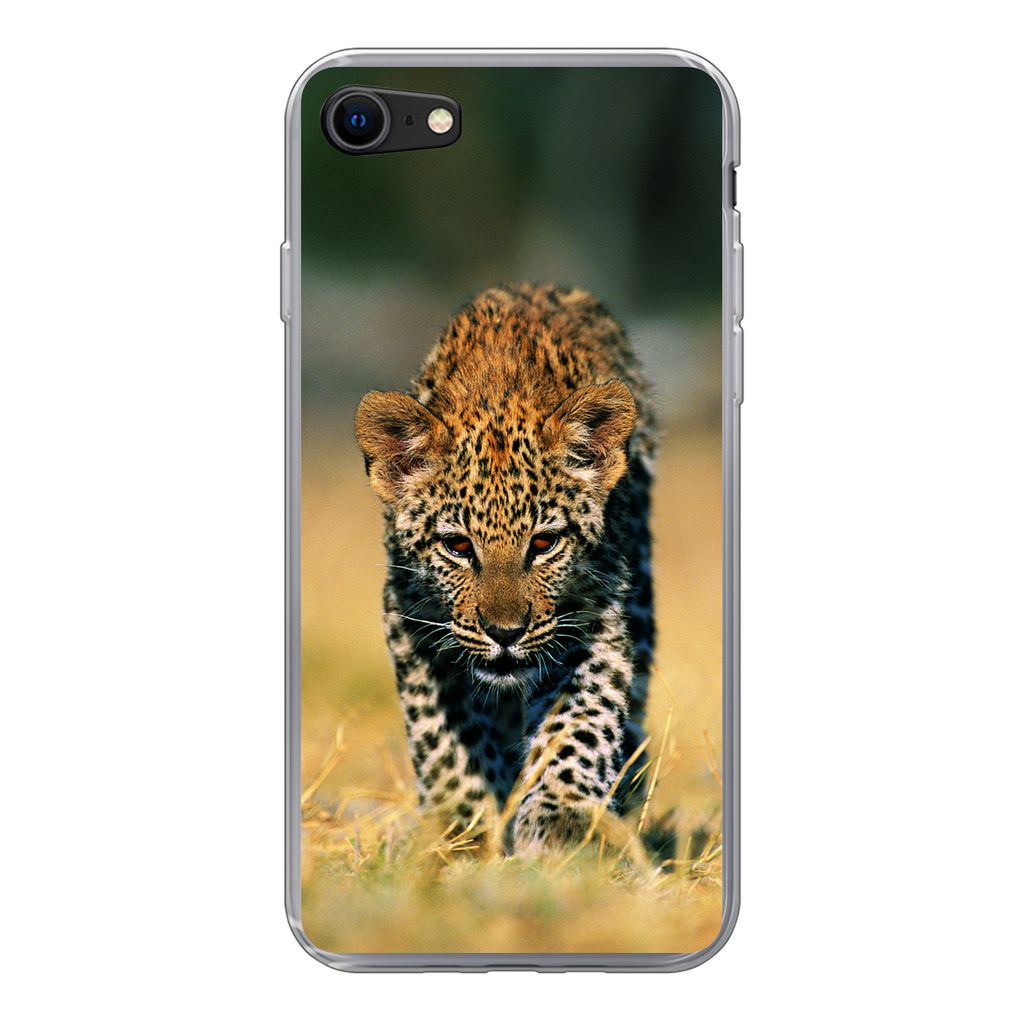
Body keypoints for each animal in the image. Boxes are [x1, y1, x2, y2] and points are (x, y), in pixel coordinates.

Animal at [355, 282, 656, 855]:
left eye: (543, 543)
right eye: (457, 546)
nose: (505, 633)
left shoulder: (594, 618)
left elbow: (577, 724)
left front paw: (563, 823)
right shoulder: (410, 619)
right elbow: (445, 737)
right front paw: (463, 826)